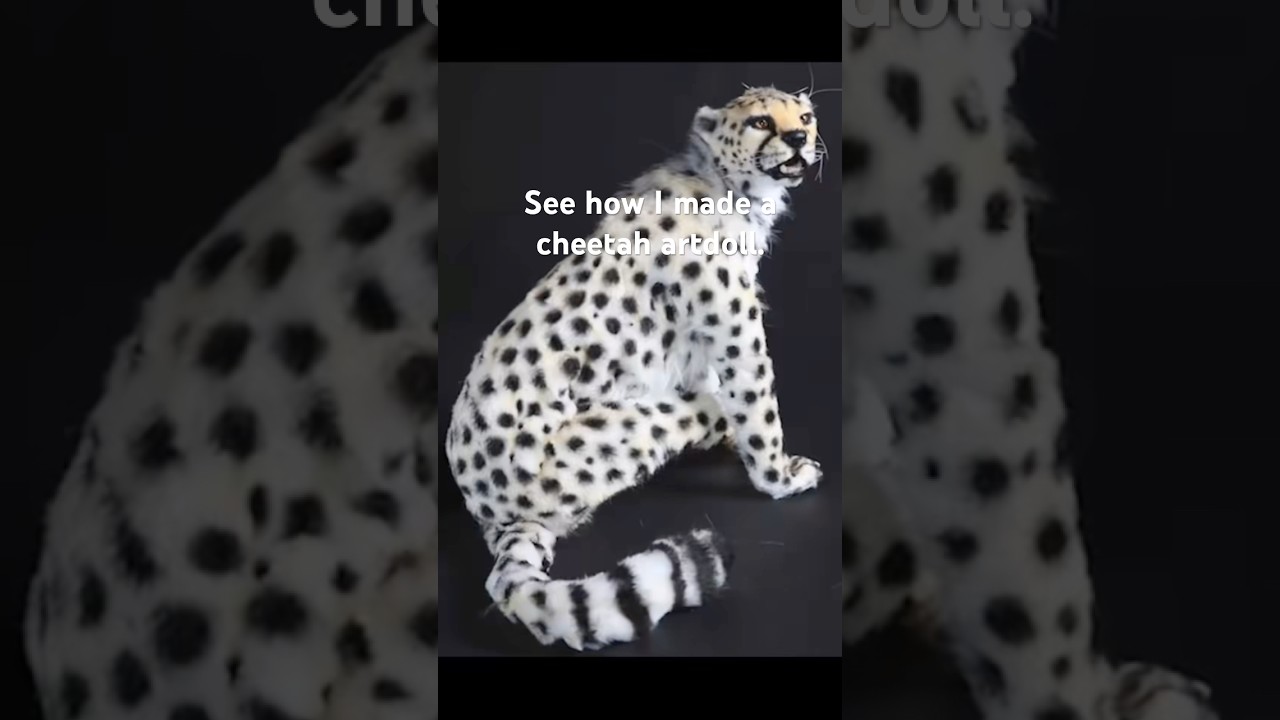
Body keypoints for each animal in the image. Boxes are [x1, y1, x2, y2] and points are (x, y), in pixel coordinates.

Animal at [443, 85, 827, 651]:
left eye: (804, 115)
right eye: (760, 121)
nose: (800, 137)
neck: (729, 187)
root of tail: (490, 511)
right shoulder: (735, 337)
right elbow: (756, 408)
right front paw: (780, 477)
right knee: (706, 407)